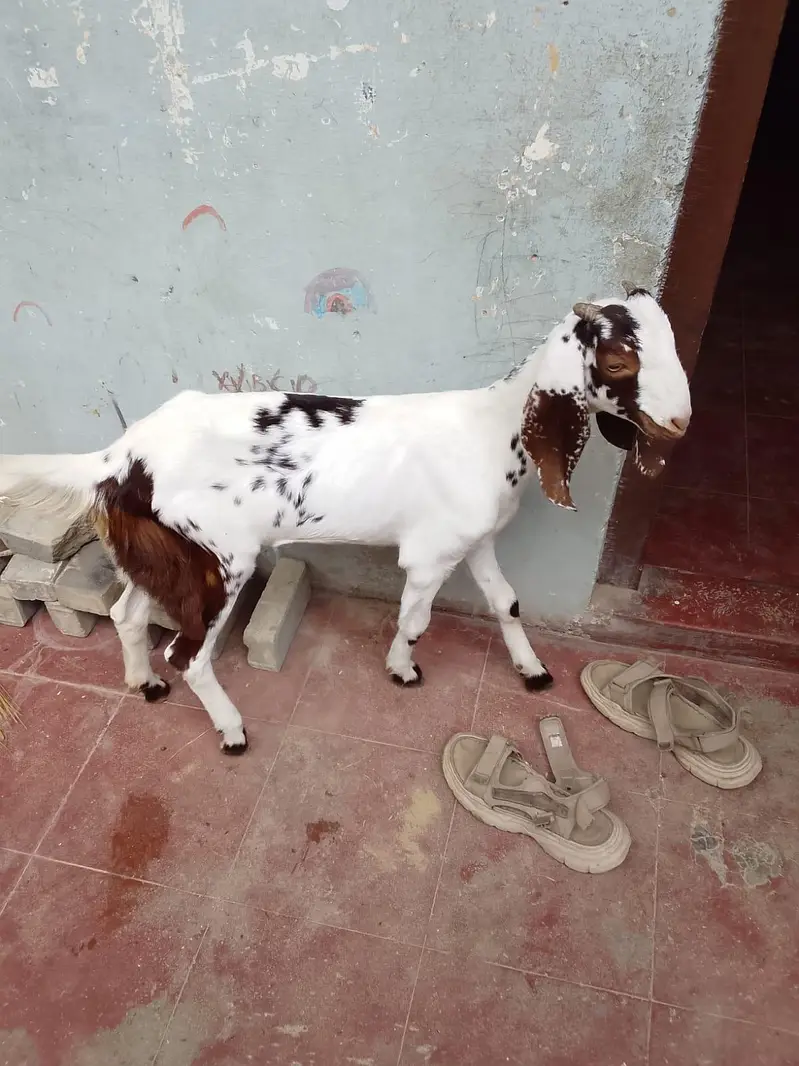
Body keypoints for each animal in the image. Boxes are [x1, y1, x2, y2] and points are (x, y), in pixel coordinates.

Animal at [0, 285, 691, 754]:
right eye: (619, 362)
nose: (680, 423)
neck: (494, 428)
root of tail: (121, 455)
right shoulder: (430, 554)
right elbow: (415, 620)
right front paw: (402, 671)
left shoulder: (475, 542)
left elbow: (507, 601)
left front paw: (533, 670)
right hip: (223, 559)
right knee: (188, 653)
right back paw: (231, 730)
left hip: (165, 554)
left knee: (127, 614)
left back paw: (142, 684)